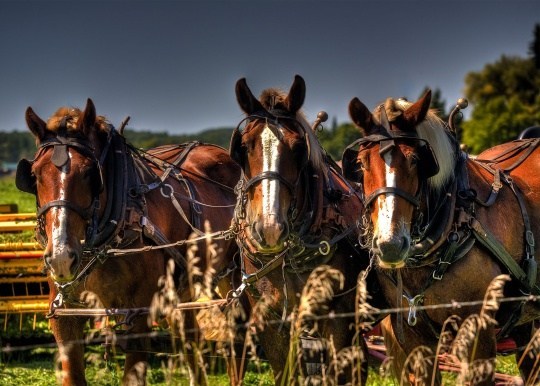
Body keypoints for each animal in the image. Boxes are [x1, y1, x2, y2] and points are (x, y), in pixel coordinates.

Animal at [15, 100, 243, 386]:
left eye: (90, 172)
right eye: (34, 175)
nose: (61, 257)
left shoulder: (139, 318)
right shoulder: (64, 316)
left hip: (234, 275)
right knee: (192, 341)